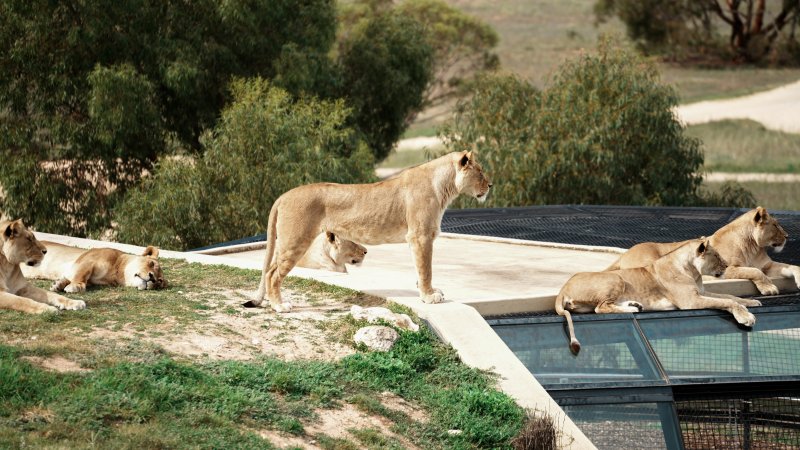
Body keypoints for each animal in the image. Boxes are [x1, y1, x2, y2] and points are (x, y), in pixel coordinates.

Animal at [21, 242, 166, 293]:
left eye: (159, 282)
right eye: (151, 264)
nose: (152, 278)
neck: (117, 273)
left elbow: (73, 278)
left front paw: (59, 284)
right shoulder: (87, 260)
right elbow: (81, 275)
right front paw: (75, 286)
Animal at [244, 150, 492, 312]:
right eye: (480, 172)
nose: (490, 186)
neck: (444, 186)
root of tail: (283, 195)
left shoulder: (417, 239)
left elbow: (420, 268)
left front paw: (426, 291)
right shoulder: (420, 236)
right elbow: (426, 269)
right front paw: (429, 297)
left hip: (287, 242)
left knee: (269, 270)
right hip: (295, 240)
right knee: (273, 274)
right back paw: (280, 306)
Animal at [556, 239, 761, 354]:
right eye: (717, 256)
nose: (727, 266)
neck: (693, 271)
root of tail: (563, 288)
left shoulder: (701, 292)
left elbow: (730, 296)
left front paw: (752, 301)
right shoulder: (691, 301)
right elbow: (726, 301)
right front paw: (746, 317)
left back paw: (635, 305)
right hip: (616, 278)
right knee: (601, 307)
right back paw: (633, 308)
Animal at [604, 207, 798, 295]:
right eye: (775, 225)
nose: (788, 236)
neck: (753, 246)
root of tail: (626, 253)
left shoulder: (767, 265)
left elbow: (792, 267)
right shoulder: (727, 269)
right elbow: (754, 271)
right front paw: (769, 288)